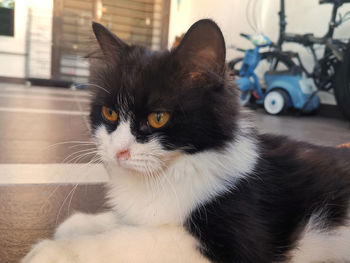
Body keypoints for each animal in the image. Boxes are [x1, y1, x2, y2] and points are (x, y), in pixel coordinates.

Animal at [22, 19, 350, 263]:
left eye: (158, 117)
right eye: (110, 113)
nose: (119, 152)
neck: (176, 170)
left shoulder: (237, 242)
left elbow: (126, 239)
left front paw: (53, 251)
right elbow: (127, 222)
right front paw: (79, 224)